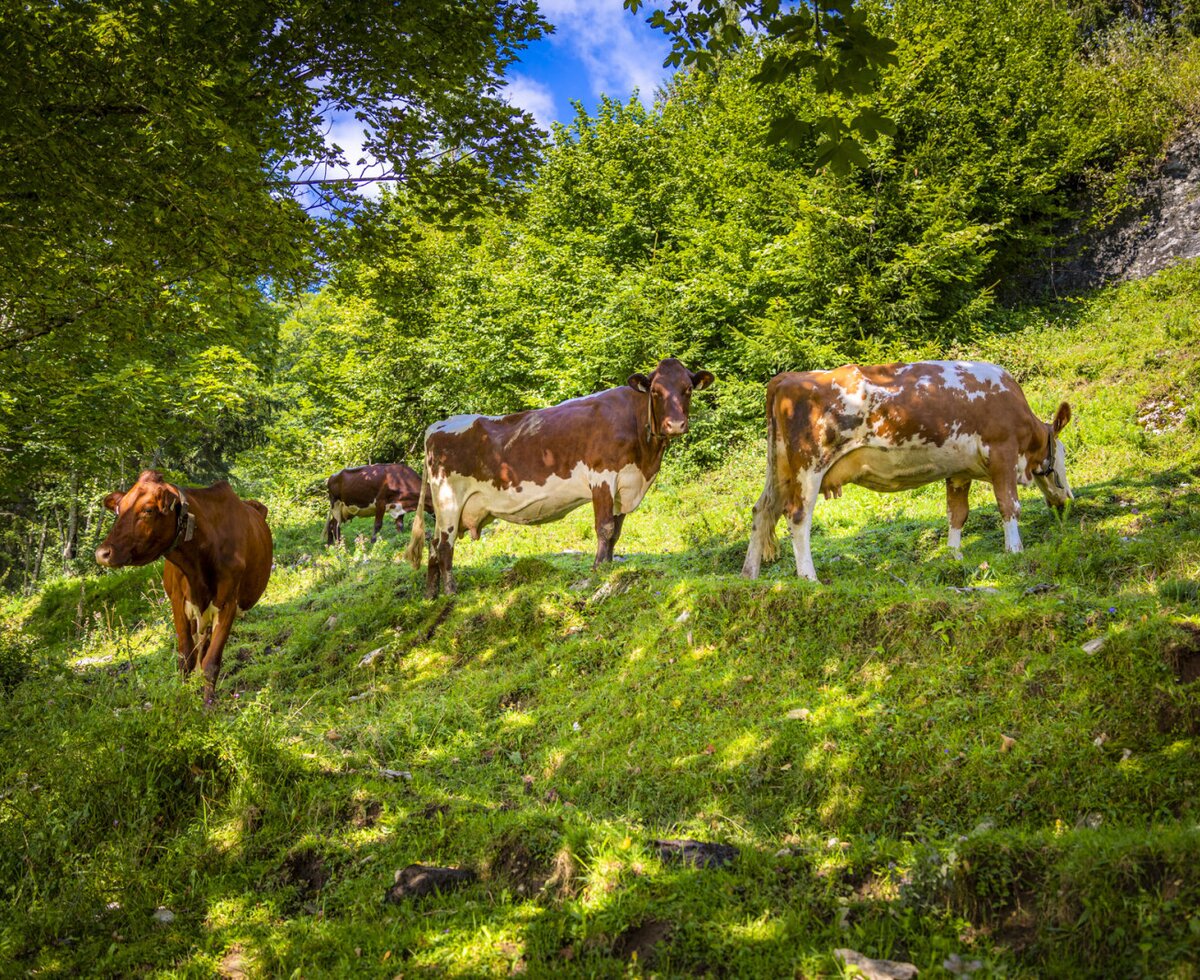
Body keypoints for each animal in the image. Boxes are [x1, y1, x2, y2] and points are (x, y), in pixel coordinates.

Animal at [95, 470, 273, 700]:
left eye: (148, 510)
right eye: (119, 509)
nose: (102, 553)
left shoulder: (228, 604)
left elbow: (211, 663)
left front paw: (207, 704)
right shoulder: (178, 601)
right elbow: (185, 658)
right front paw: (183, 697)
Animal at [406, 358, 714, 597]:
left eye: (687, 390)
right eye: (657, 392)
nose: (675, 424)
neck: (645, 460)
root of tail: (438, 425)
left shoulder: (625, 486)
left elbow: (615, 533)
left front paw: (609, 567)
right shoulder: (602, 476)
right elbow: (604, 528)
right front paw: (598, 570)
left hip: (447, 508)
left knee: (433, 546)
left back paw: (431, 596)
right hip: (449, 499)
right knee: (444, 546)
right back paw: (450, 593)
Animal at [741, 361, 1073, 581]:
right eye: (1062, 454)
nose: (1067, 498)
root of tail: (787, 377)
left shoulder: (959, 470)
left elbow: (957, 513)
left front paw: (953, 556)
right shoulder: (1002, 452)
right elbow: (1009, 505)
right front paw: (1015, 550)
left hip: (781, 469)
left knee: (762, 510)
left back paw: (749, 575)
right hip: (809, 466)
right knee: (797, 516)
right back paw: (809, 578)